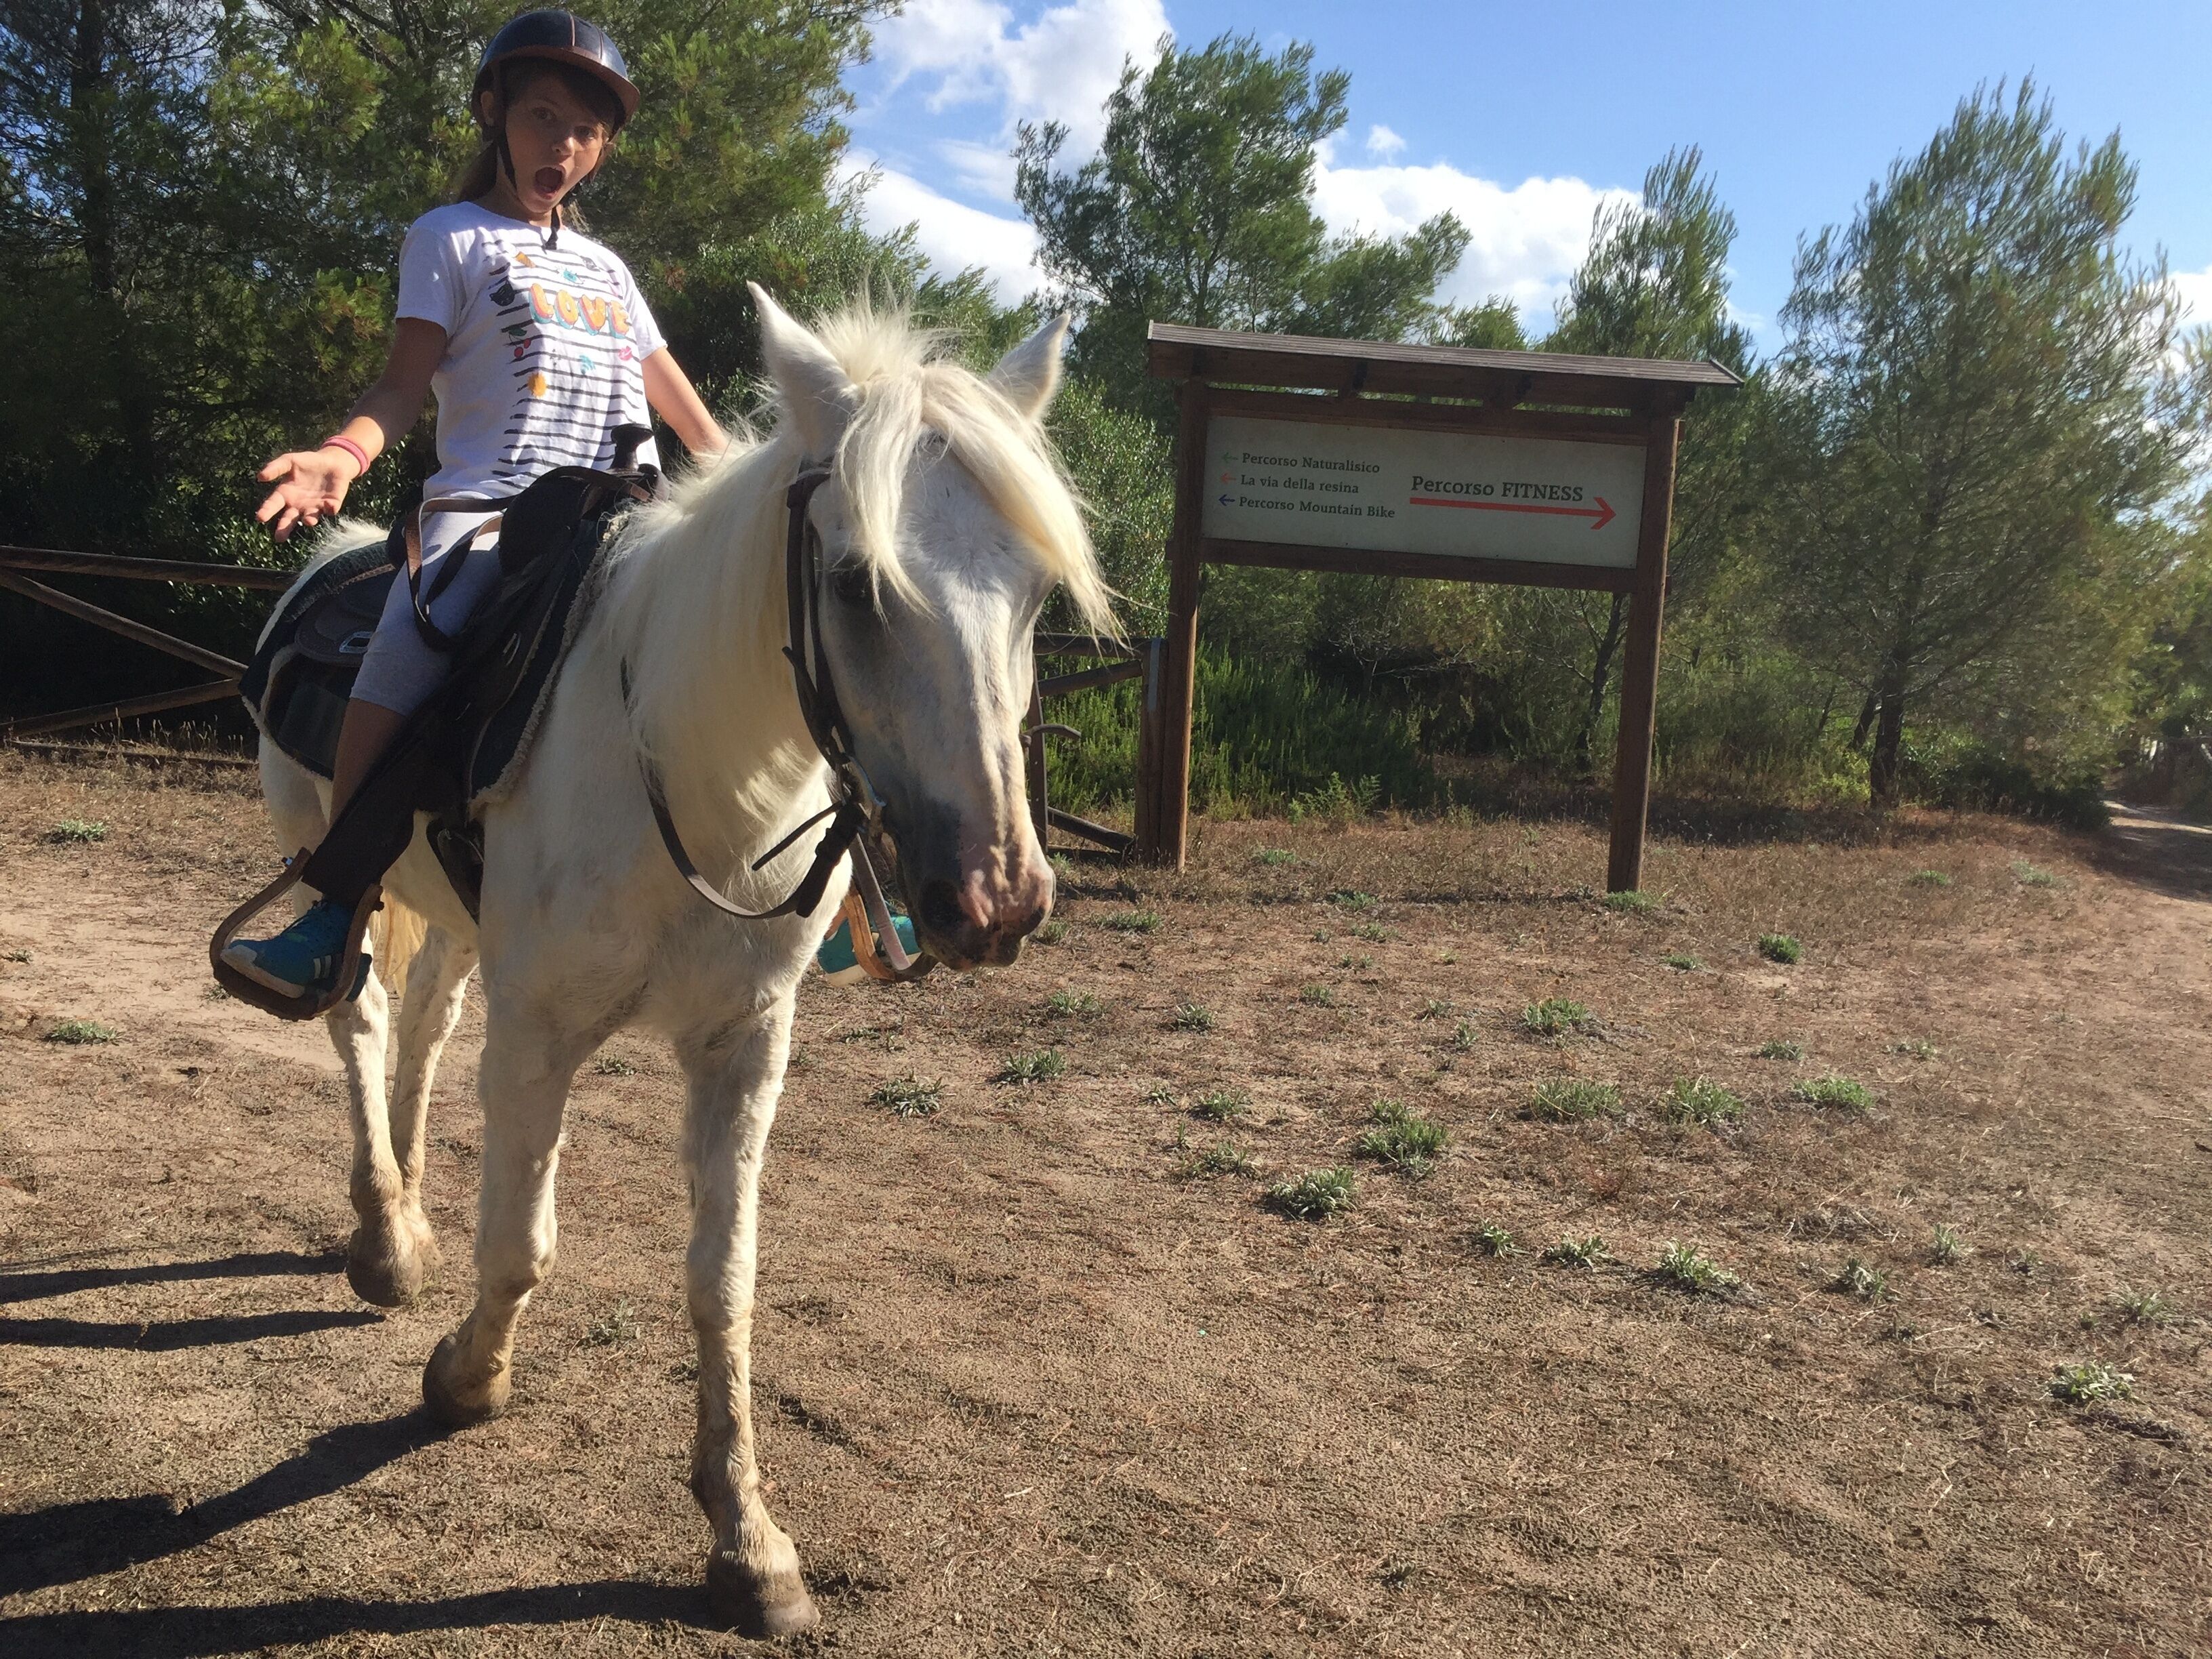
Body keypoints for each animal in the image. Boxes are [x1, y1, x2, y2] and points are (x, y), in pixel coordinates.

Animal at [248, 286, 1113, 1634]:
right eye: (856, 583)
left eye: (1032, 596)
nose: (996, 900)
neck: (683, 765)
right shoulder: (543, 1029)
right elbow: (524, 1244)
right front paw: (465, 1381)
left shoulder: (741, 1042)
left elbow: (724, 1280)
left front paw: (746, 1536)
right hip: (334, 859)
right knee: (361, 1018)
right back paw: (385, 1235)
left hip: (458, 917)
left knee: (427, 1022)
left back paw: (409, 1202)